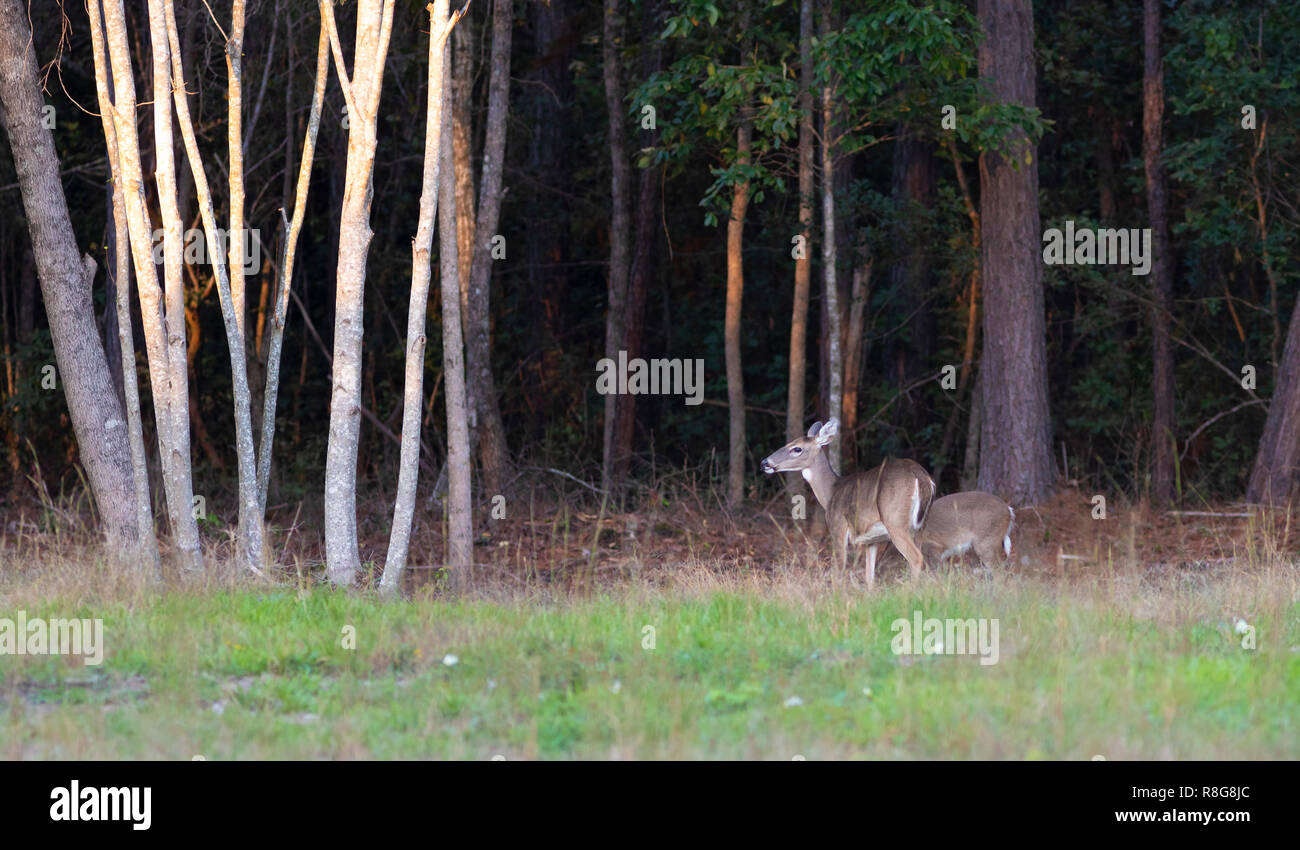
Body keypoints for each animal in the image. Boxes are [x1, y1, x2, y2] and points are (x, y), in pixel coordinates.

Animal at [761, 418, 936, 589]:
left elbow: (839, 570)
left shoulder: (837, 526)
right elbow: (869, 577)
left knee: (916, 558)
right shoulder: (871, 540)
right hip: (920, 526)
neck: (831, 492)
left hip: (895, 521)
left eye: (797, 448)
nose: (764, 462)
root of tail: (921, 476)